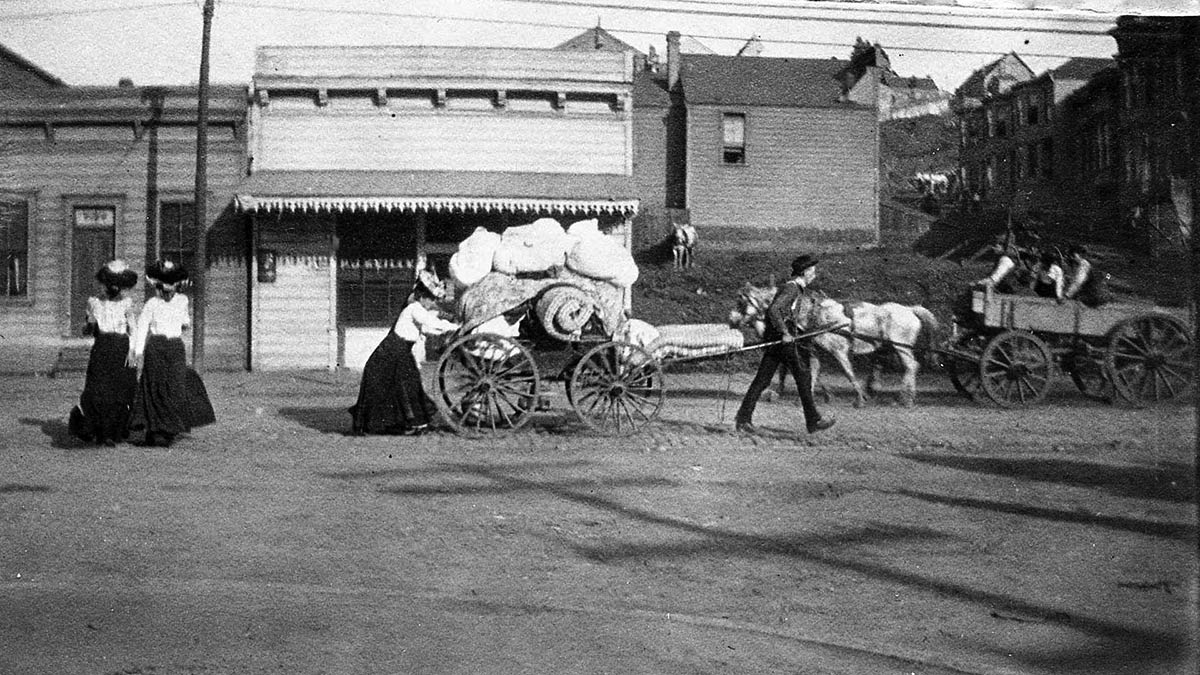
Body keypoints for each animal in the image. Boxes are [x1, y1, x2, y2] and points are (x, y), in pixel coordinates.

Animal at [724, 279, 940, 403]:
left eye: (742, 302)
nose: (731, 319)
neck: (815, 315)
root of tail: (910, 309)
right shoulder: (814, 351)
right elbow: (813, 372)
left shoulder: (838, 352)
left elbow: (848, 372)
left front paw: (859, 398)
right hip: (887, 347)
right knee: (883, 365)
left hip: (901, 347)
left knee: (911, 366)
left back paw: (904, 398)